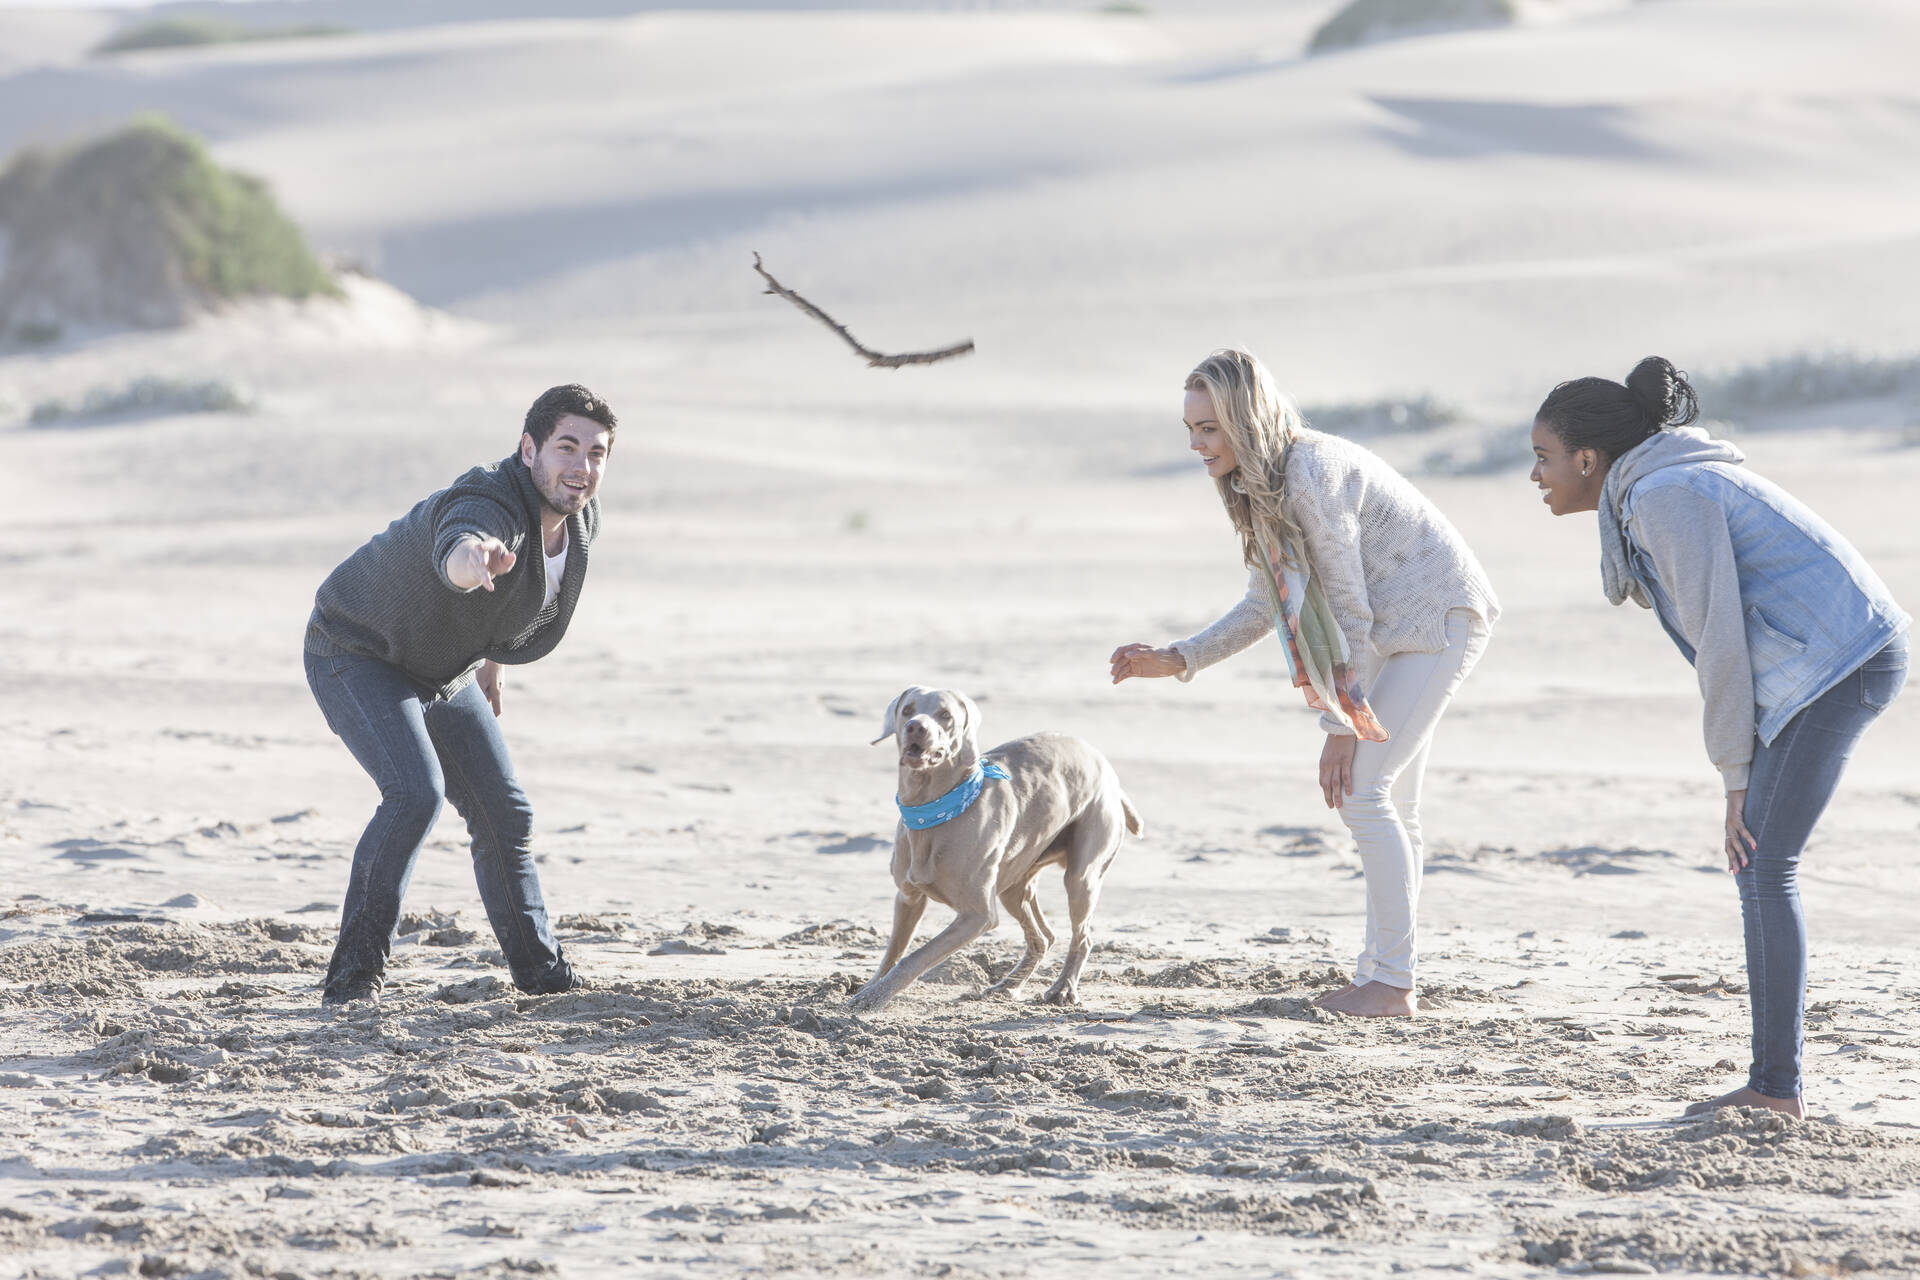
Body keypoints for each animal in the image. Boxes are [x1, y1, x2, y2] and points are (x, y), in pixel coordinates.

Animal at [844, 687, 1136, 1013]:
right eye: (908, 709)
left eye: (945, 715)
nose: (916, 727)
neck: (935, 810)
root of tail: (1108, 772)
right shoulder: (907, 898)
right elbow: (894, 951)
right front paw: (869, 989)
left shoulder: (978, 915)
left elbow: (915, 958)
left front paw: (872, 1000)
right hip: (1014, 884)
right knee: (1043, 936)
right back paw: (1008, 986)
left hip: (1082, 875)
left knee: (1082, 936)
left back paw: (1062, 989)